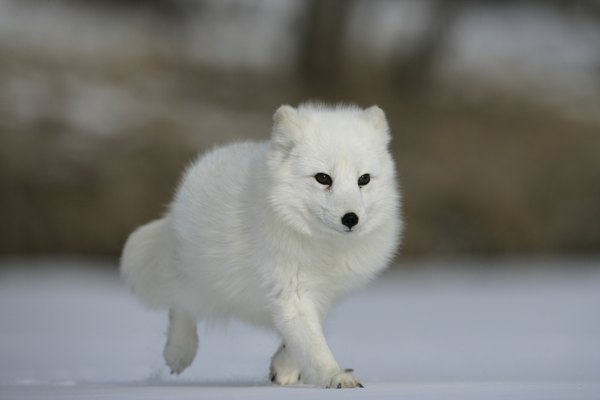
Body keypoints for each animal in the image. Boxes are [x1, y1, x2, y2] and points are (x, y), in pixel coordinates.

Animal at [120, 102, 404, 388]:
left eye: (364, 179)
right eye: (323, 178)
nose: (351, 219)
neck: (325, 248)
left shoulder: (323, 294)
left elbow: (303, 337)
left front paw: (285, 368)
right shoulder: (291, 288)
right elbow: (313, 345)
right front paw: (335, 376)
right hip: (201, 278)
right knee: (180, 302)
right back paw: (179, 352)